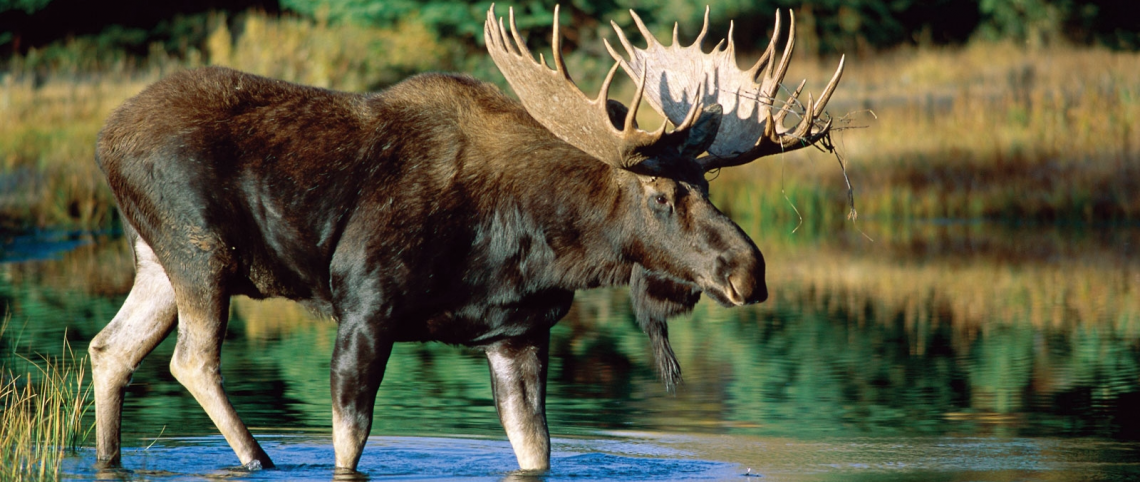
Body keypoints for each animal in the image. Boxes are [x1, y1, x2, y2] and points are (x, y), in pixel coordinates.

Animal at [86, 3, 839, 476]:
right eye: (660, 197)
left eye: (707, 187)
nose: (749, 271)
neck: (534, 243)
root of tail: (105, 139)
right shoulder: (366, 303)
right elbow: (348, 442)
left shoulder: (517, 332)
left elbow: (535, 450)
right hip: (198, 249)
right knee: (191, 360)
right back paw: (256, 458)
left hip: (156, 259)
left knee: (109, 348)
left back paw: (110, 458)